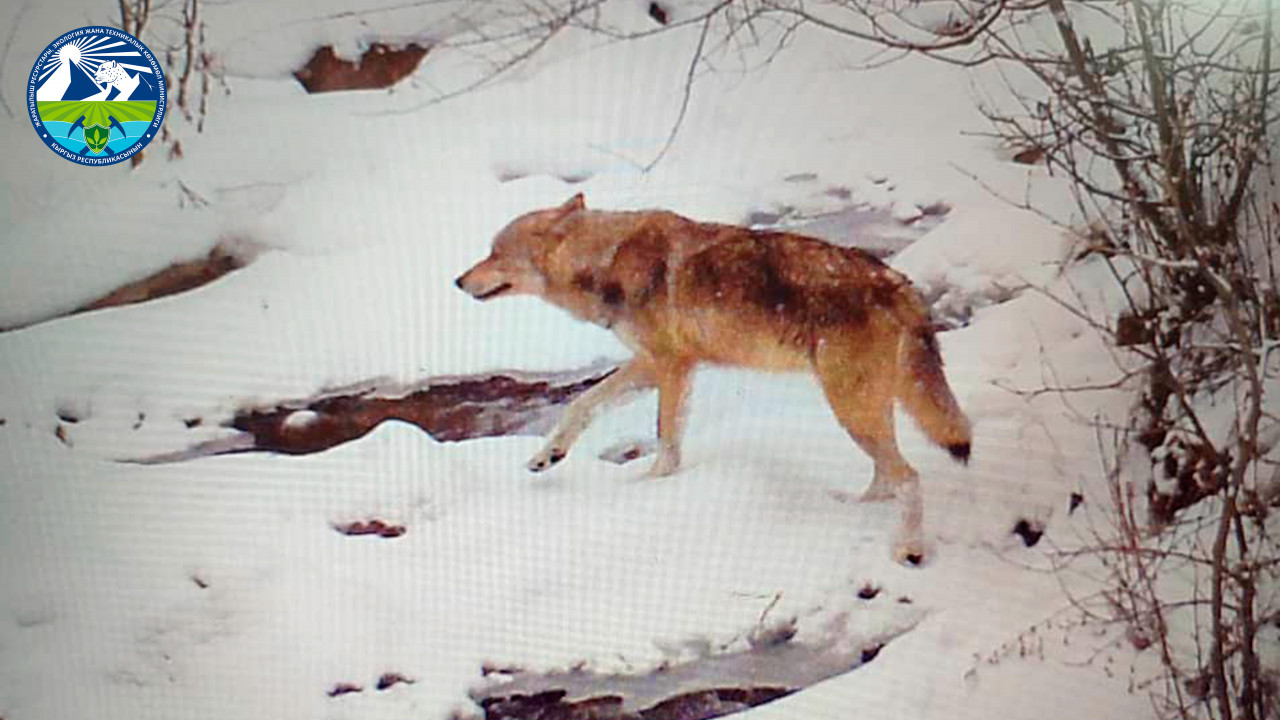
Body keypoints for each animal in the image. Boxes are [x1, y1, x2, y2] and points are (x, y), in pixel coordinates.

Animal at [456, 194, 972, 563]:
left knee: (908, 476)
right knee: (886, 476)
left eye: (494, 253)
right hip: (864, 409)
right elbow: (582, 403)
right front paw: (547, 457)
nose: (457, 281)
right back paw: (850, 509)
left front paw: (649, 489)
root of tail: (898, 283)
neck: (606, 261)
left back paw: (908, 549)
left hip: (851, 406)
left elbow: (665, 441)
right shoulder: (651, 364)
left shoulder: (672, 367)